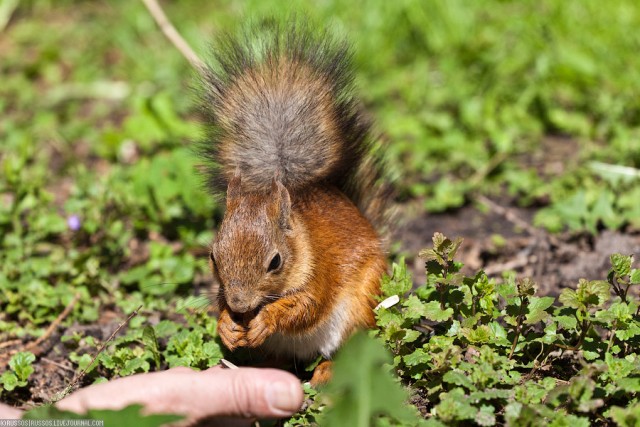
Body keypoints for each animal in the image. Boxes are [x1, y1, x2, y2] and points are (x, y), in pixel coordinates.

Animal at [199, 22, 390, 384]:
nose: (240, 306)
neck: (300, 239)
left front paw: (266, 319)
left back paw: (329, 371)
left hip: (362, 306)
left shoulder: (321, 272)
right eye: (214, 257)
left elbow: (307, 306)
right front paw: (227, 324)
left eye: (275, 262)